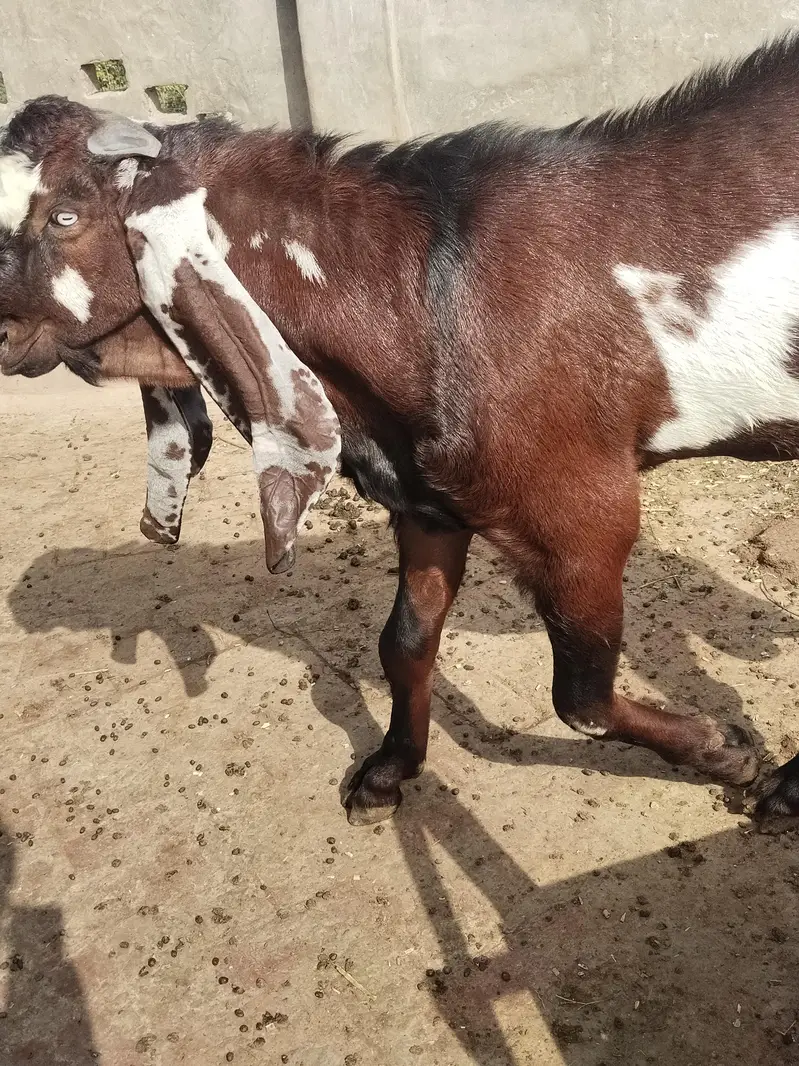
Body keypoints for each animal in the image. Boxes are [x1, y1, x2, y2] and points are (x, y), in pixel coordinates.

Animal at [3, 35, 799, 823]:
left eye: (64, 216)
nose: (1, 333)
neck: (420, 292)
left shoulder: (582, 515)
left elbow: (582, 698)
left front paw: (724, 752)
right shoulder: (426, 499)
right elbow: (405, 642)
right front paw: (389, 770)